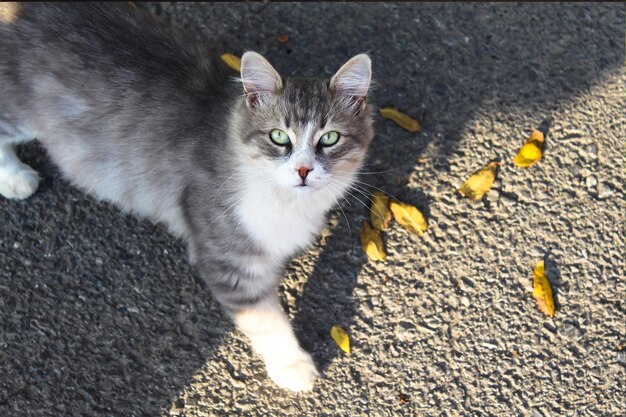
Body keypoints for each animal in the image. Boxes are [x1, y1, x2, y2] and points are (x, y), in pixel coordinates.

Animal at [0, 2, 370, 390]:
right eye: (278, 137)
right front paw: (292, 365)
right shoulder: (228, 258)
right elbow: (266, 319)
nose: (303, 170)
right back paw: (14, 177)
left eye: (329, 139)